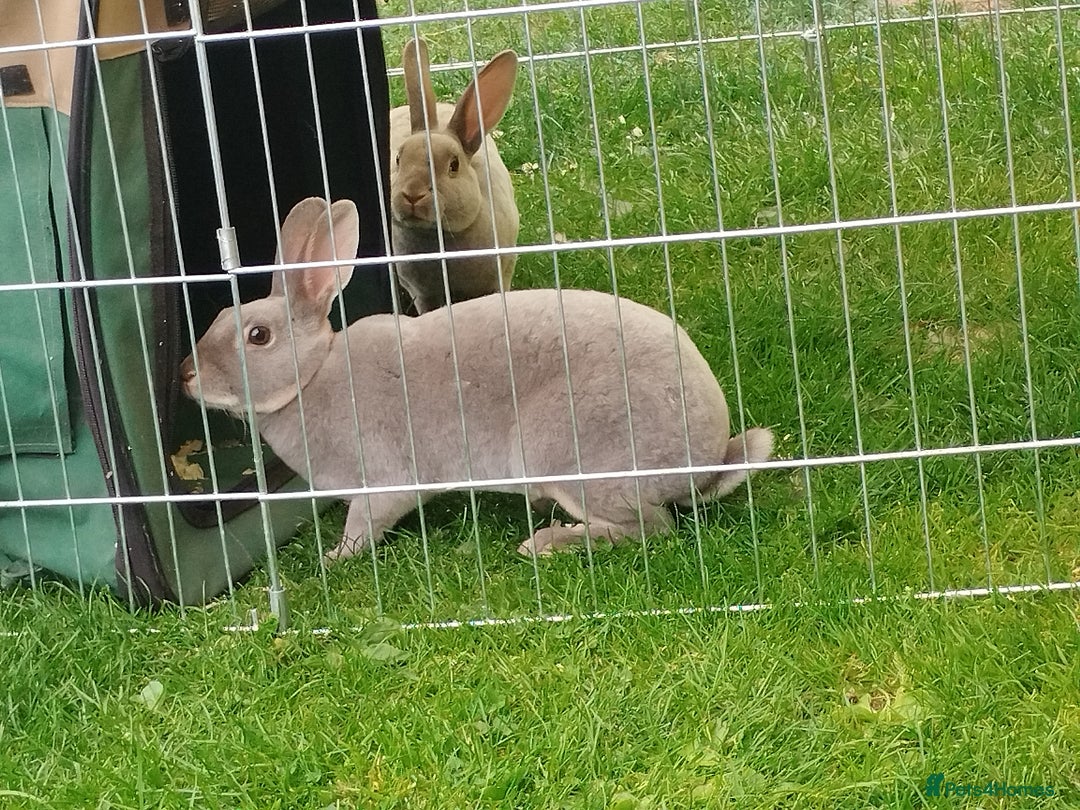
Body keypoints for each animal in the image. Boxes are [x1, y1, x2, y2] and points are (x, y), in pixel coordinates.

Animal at [180, 197, 774, 562]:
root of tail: (706, 459)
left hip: (567, 450)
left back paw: (545, 542)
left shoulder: (383, 480)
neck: (311, 377)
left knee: (648, 528)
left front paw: (335, 558)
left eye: (258, 336)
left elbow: (365, 525)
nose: (186, 376)